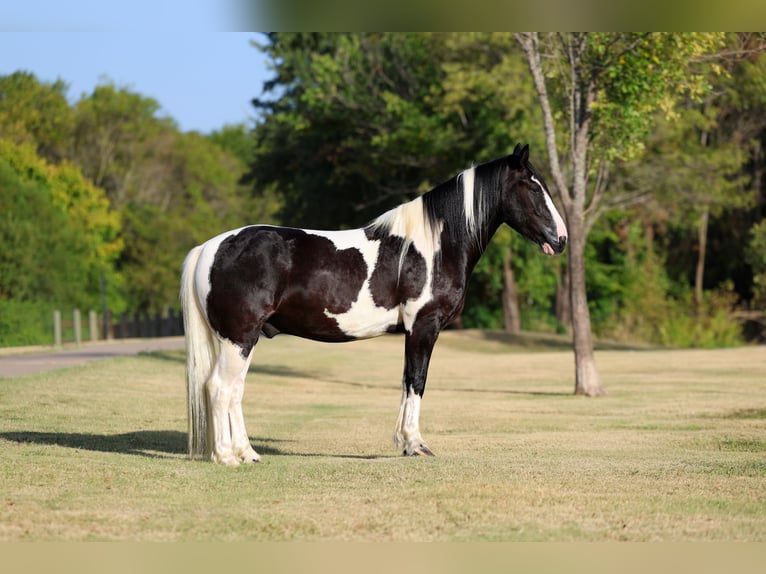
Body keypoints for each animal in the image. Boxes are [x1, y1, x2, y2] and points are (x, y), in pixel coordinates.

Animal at [180, 144, 567, 465]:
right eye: (534, 188)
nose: (561, 238)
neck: (434, 245)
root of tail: (210, 247)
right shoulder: (423, 327)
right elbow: (417, 380)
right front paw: (415, 444)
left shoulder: (413, 331)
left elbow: (407, 381)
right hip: (239, 338)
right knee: (219, 388)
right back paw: (226, 457)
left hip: (243, 340)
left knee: (234, 390)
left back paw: (248, 453)